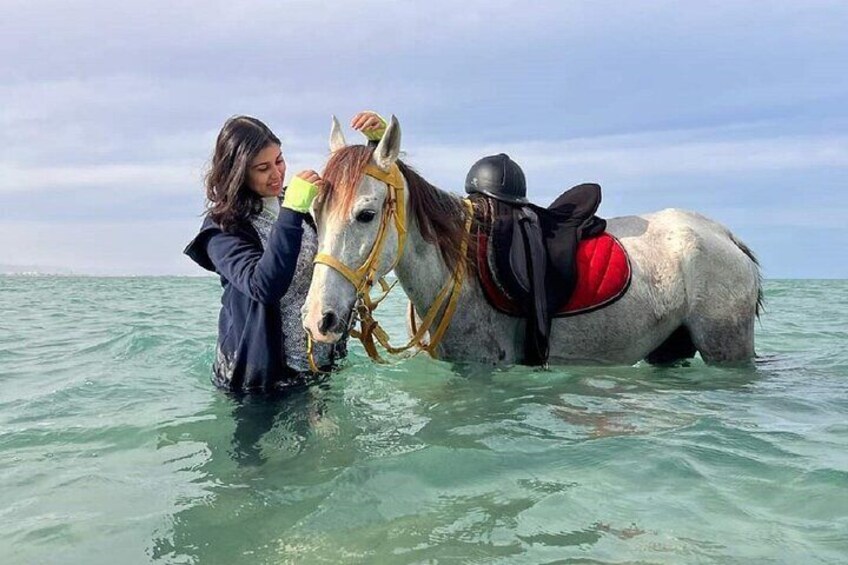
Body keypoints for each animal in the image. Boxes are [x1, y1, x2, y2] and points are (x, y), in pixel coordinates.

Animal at [304, 117, 760, 366]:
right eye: (315, 212)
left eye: (366, 214)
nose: (316, 320)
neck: (462, 272)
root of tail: (724, 234)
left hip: (726, 346)